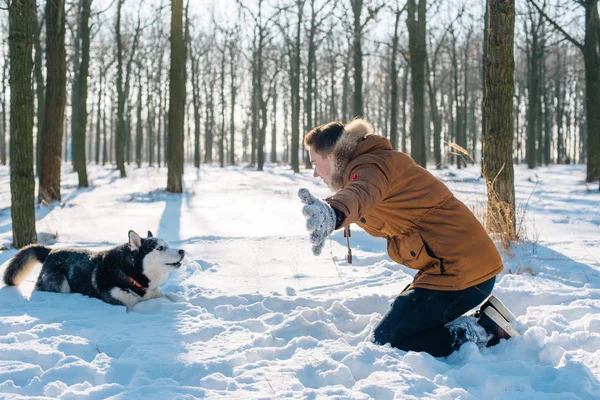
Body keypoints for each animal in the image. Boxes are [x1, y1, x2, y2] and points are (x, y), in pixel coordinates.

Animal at [2, 231, 184, 310]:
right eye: (160, 248)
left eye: (167, 245)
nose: (182, 251)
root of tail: (51, 251)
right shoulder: (122, 304)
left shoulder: (155, 293)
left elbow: (169, 296)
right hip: (61, 285)